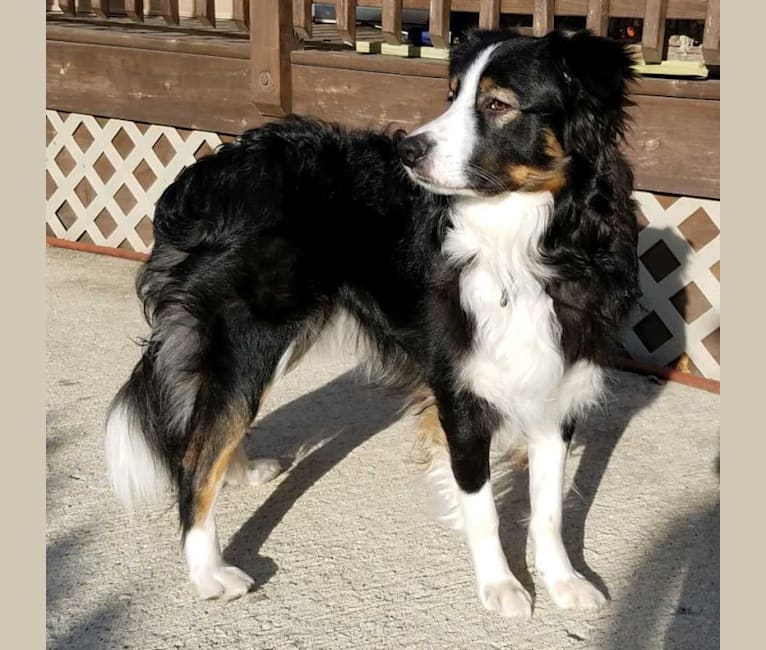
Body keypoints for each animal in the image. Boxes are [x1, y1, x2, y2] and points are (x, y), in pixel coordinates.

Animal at [103, 29, 640, 616]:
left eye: (497, 105)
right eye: (453, 95)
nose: (408, 151)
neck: (529, 243)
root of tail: (207, 172)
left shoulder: (558, 380)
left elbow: (549, 507)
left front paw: (563, 580)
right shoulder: (460, 392)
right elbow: (482, 506)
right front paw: (500, 585)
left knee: (212, 426)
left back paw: (241, 474)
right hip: (253, 335)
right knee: (198, 453)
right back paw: (208, 572)